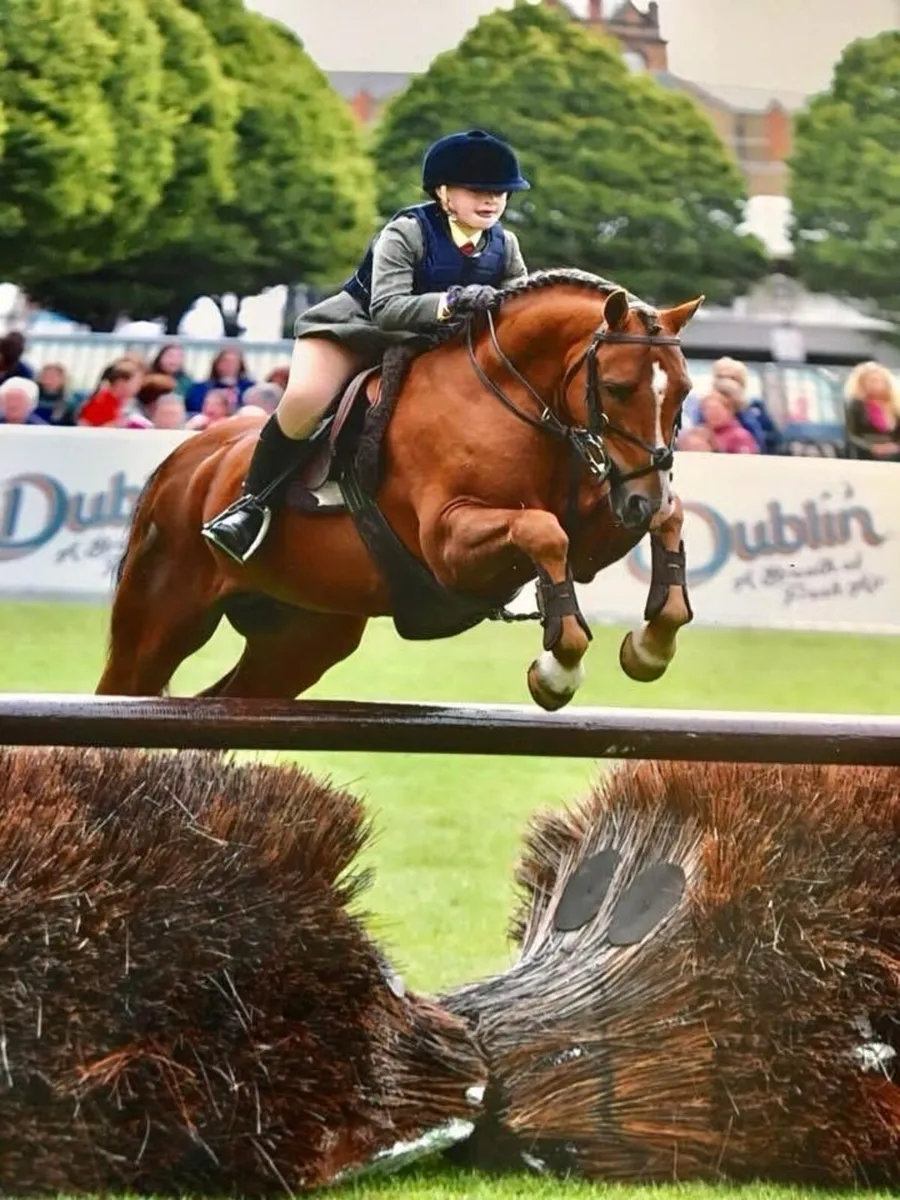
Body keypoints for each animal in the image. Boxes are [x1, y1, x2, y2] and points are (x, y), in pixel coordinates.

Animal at [97, 270, 703, 711]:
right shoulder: (448, 547)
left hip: (303, 634)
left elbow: (667, 519)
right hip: (160, 617)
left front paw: (651, 647)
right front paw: (559, 671)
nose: (641, 498)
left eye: (683, 391)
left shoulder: (593, 537)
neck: (512, 400)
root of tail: (186, 459)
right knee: (122, 685)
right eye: (617, 388)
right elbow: (543, 530)